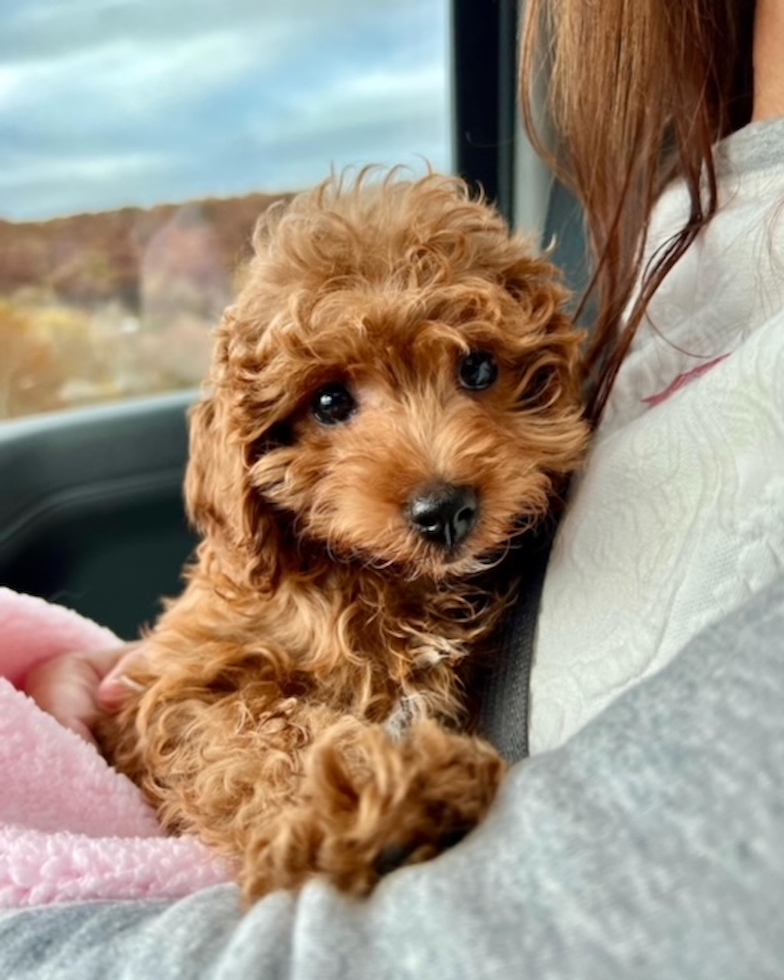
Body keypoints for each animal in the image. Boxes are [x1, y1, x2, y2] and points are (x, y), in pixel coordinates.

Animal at [99, 168, 588, 904]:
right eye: (329, 402)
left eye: (478, 368)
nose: (444, 509)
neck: (382, 581)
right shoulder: (179, 683)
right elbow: (257, 737)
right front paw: (375, 801)